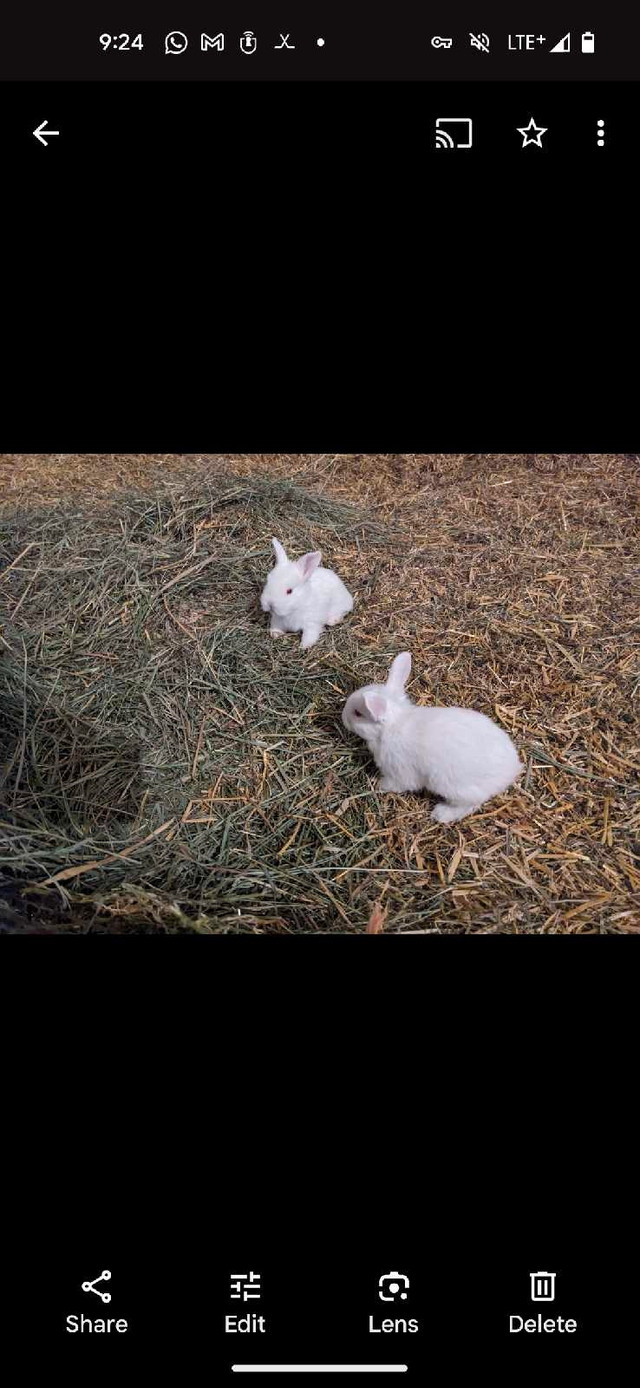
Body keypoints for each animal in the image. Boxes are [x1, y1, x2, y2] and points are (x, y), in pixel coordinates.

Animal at [341, 649, 521, 821]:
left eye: (358, 713)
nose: (343, 718)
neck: (393, 726)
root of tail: (512, 769)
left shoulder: (400, 772)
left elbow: (398, 784)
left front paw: (379, 784)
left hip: (454, 788)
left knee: (469, 805)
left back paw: (441, 814)